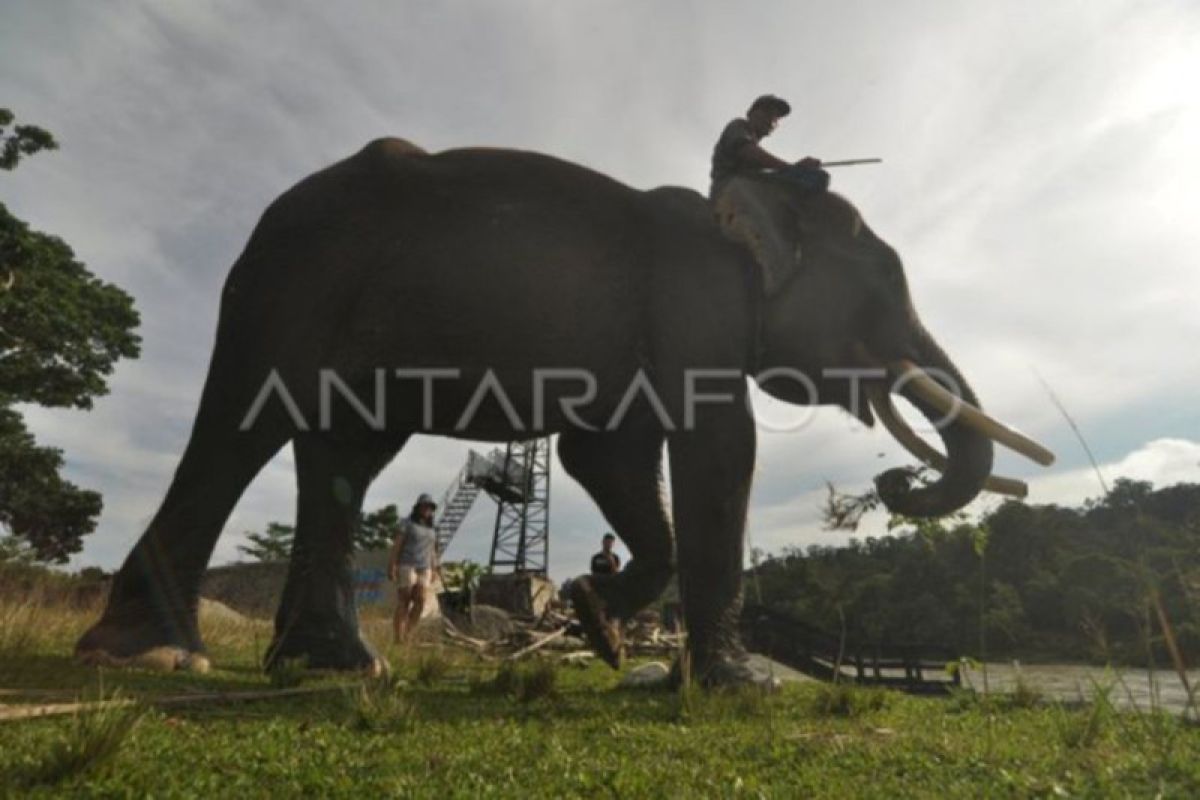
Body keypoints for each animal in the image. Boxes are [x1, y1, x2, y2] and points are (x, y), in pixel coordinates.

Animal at [77, 139, 1051, 690]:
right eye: (885, 288)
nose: (892, 483)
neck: (746, 215)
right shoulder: (694, 299)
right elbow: (718, 448)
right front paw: (740, 685)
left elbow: (606, 456)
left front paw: (599, 624)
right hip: (288, 277)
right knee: (239, 426)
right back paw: (157, 657)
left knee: (344, 449)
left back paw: (335, 666)